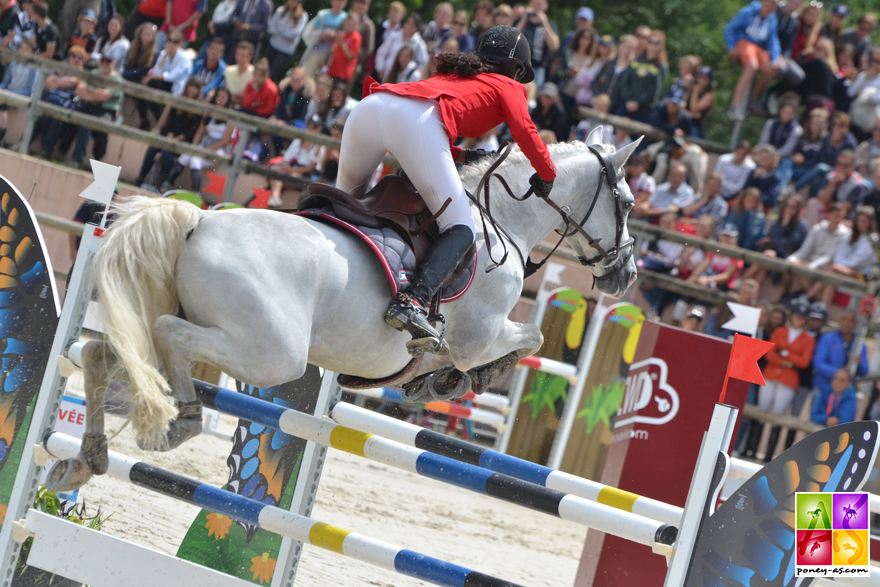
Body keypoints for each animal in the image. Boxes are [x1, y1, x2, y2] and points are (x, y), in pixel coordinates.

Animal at [46, 127, 640, 492]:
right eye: (629, 204)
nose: (627, 274)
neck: (501, 222)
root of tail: (199, 221)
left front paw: (429, 381)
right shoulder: (481, 336)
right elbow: (527, 341)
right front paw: (449, 382)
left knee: (102, 353)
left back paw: (85, 460)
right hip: (270, 352)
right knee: (172, 338)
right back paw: (182, 421)